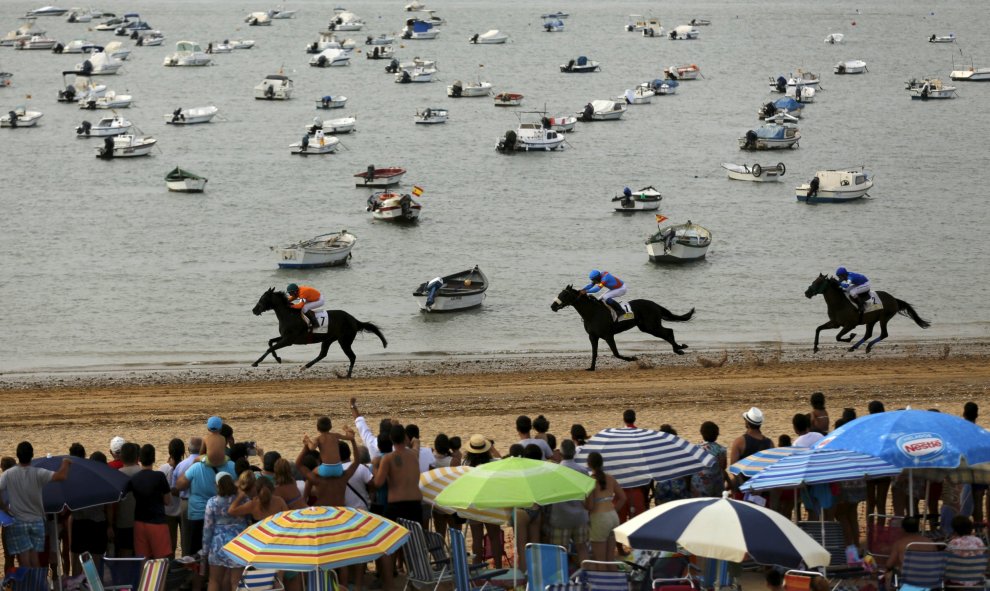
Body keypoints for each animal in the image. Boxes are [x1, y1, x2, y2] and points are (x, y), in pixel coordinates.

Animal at [252, 288, 388, 380]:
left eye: (263, 298)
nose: (254, 310)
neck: (288, 315)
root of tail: (353, 319)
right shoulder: (285, 337)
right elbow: (270, 342)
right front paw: (278, 358)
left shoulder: (289, 340)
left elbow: (270, 348)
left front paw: (256, 362)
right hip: (329, 339)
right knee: (323, 354)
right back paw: (305, 367)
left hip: (344, 341)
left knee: (352, 356)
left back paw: (347, 375)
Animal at [552, 286, 696, 372]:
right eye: (559, 294)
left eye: (564, 295)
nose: (552, 306)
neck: (592, 313)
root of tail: (654, 304)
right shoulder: (593, 336)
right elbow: (594, 353)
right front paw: (591, 367)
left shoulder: (608, 335)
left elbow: (615, 353)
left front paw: (633, 358)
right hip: (646, 327)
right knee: (668, 332)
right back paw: (679, 348)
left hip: (652, 326)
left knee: (668, 331)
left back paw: (679, 349)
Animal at [804, 276, 932, 354]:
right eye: (813, 281)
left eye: (818, 282)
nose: (807, 293)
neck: (839, 303)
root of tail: (894, 299)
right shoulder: (835, 323)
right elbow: (818, 329)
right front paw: (815, 347)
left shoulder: (850, 325)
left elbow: (838, 337)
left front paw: (851, 336)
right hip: (871, 320)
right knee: (868, 334)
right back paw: (854, 347)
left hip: (884, 318)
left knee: (883, 334)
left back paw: (867, 346)